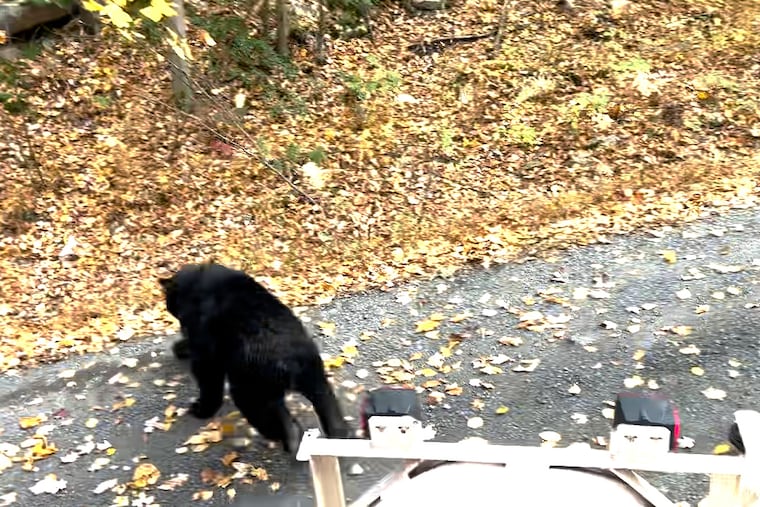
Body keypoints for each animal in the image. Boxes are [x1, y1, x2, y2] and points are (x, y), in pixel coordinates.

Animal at [158, 262, 350, 453]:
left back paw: (283, 437)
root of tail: (291, 362)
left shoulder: (205, 352)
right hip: (313, 380)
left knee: (276, 420)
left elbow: (209, 384)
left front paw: (201, 408)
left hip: (249, 390)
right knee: (329, 411)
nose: (169, 308)